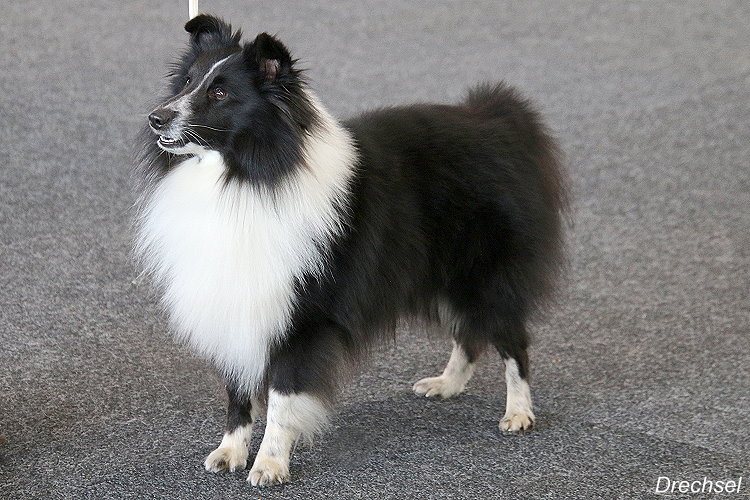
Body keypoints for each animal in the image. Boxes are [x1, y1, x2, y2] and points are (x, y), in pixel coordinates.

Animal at [137, 13, 568, 486]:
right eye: (187, 82)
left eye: (220, 93)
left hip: (485, 275)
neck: (248, 175)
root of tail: (497, 117)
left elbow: (282, 397)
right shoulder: (237, 308)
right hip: (444, 274)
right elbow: (238, 393)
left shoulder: (299, 316)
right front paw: (230, 452)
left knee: (512, 342)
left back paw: (518, 413)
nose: (157, 118)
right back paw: (446, 385)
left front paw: (270, 464)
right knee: (469, 335)